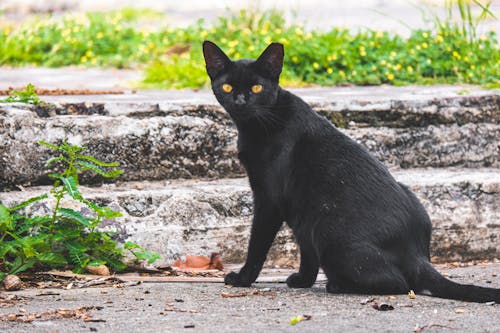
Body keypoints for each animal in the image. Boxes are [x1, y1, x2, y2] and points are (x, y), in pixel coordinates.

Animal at [201, 40, 498, 302]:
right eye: (227, 86)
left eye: (256, 87)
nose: (240, 101)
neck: (258, 126)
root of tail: (418, 254)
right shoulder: (299, 209)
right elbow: (305, 250)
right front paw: (303, 280)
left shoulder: (269, 200)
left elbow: (257, 245)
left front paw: (243, 278)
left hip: (330, 231)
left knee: (400, 284)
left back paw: (337, 285)